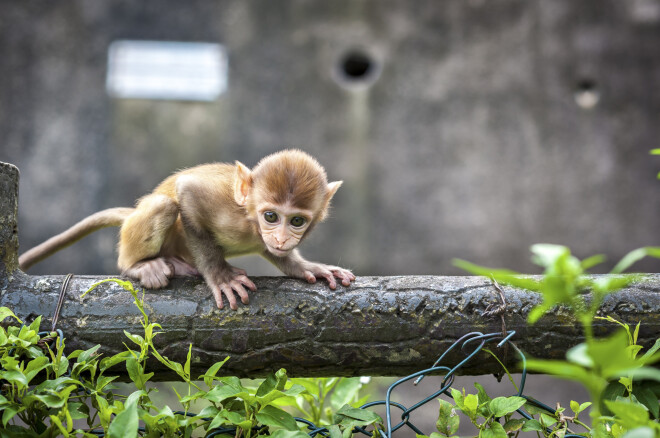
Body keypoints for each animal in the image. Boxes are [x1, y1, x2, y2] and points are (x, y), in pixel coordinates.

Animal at [18, 149, 356, 310]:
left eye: (296, 221)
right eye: (271, 216)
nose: (283, 237)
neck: (250, 220)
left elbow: (276, 254)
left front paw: (307, 267)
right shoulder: (225, 209)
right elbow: (187, 193)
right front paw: (220, 276)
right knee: (164, 206)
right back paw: (139, 265)